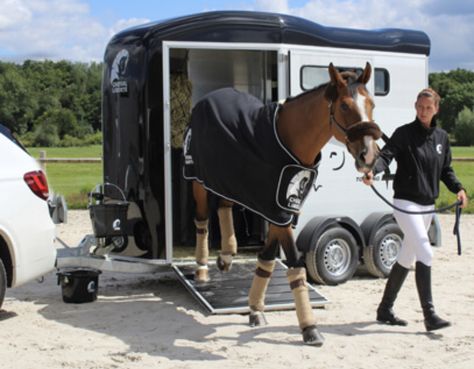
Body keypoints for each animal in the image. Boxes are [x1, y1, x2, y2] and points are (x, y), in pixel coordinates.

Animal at [181, 63, 382, 344]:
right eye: (344, 105)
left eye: (371, 103)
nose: (369, 156)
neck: (290, 140)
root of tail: (208, 99)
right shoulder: (278, 208)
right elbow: (295, 263)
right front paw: (309, 327)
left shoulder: (283, 209)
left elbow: (267, 257)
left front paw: (255, 309)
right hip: (198, 180)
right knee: (201, 219)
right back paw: (201, 270)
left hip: (229, 178)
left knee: (224, 205)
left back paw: (227, 255)